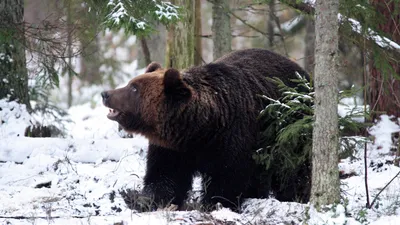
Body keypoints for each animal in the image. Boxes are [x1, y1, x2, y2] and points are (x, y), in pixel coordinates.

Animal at [101, 48, 310, 212]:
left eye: (134, 88)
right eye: (131, 83)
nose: (105, 93)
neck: (200, 129)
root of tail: (302, 72)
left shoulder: (233, 138)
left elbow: (227, 179)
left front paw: (215, 204)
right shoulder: (172, 148)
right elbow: (165, 176)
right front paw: (140, 198)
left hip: (288, 130)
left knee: (293, 171)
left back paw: (295, 197)